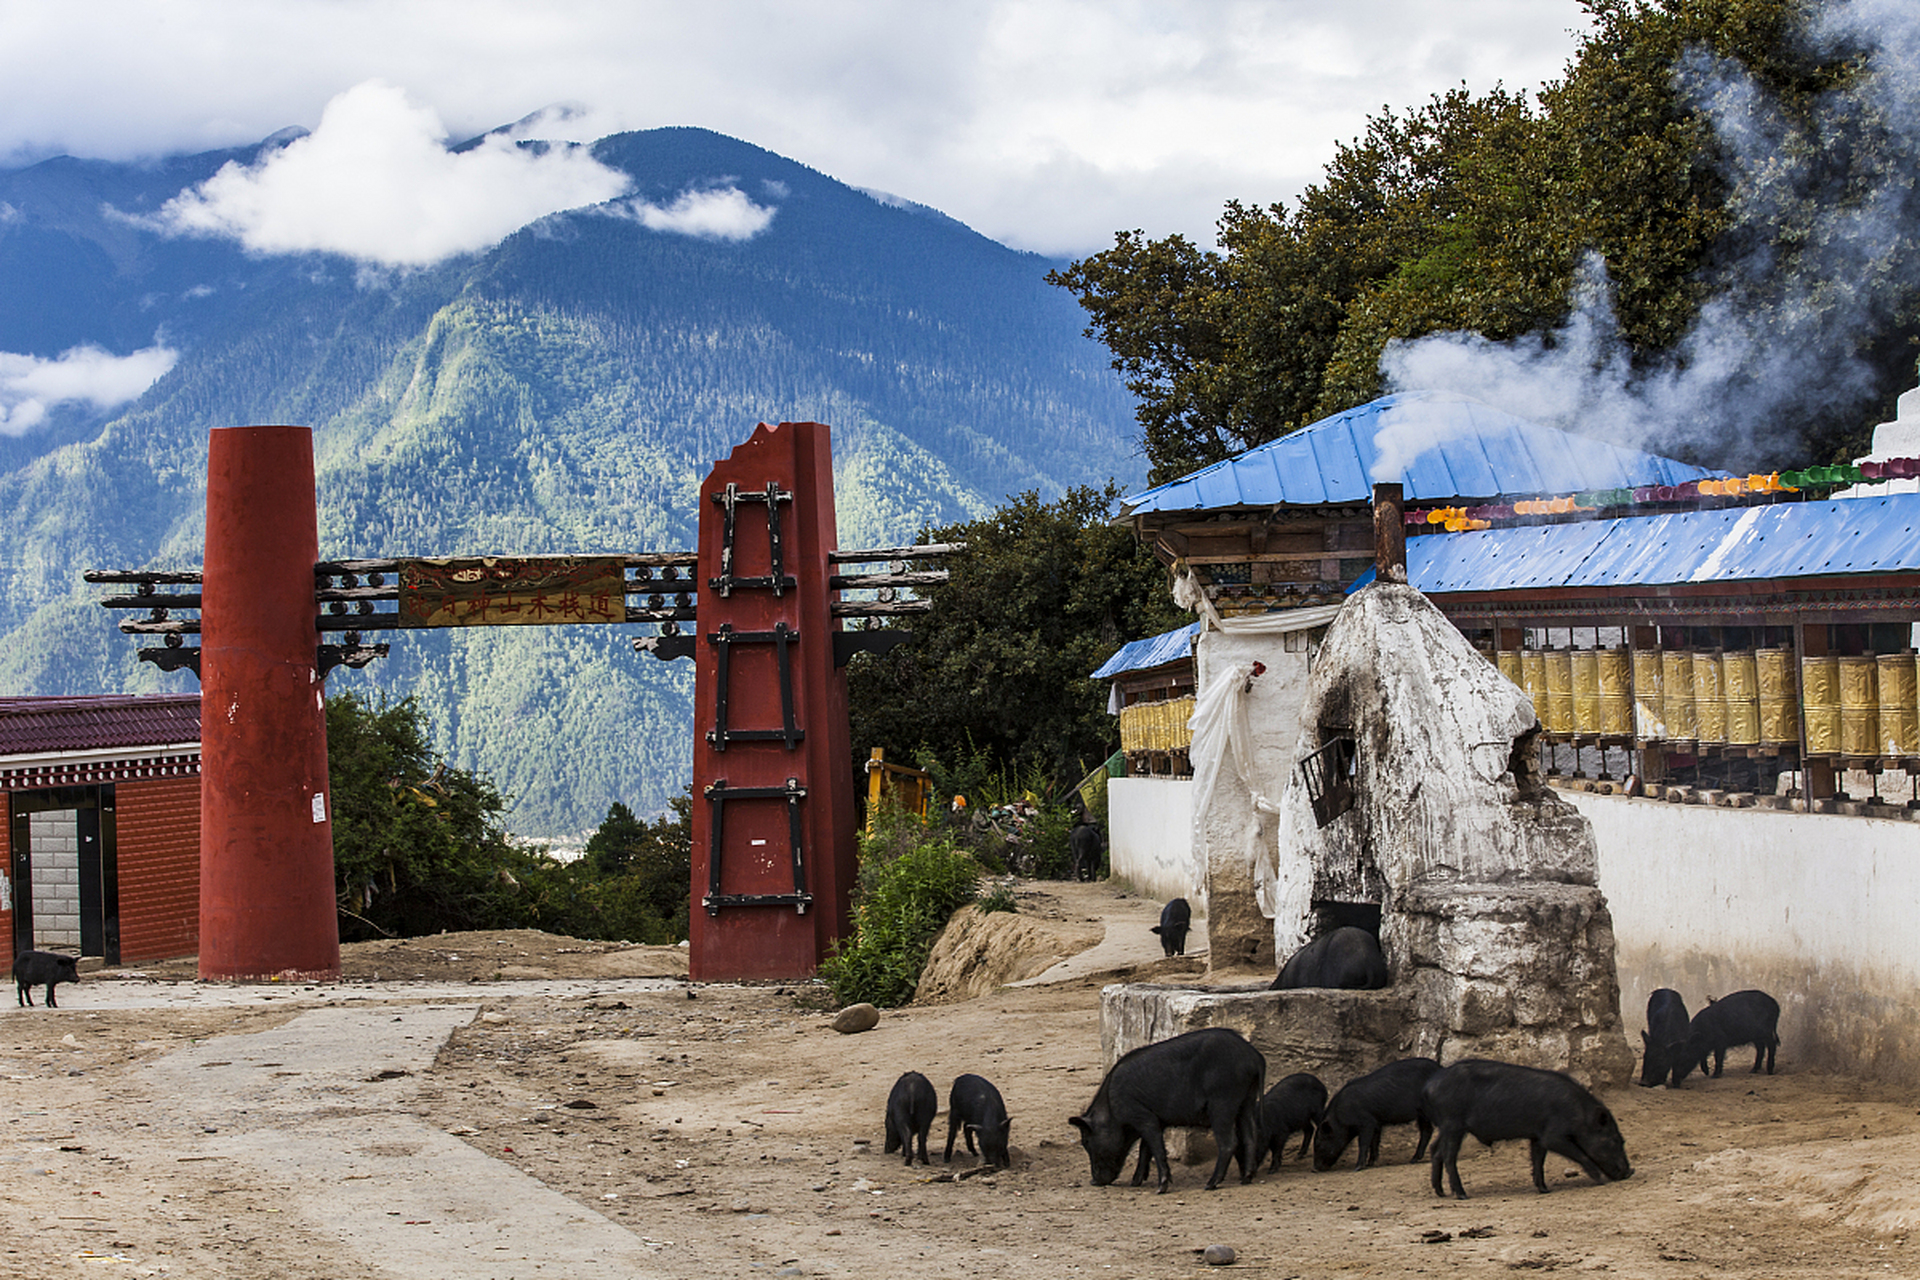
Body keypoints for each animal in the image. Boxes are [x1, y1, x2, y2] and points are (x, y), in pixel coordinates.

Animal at [1075, 1028, 1267, 1197]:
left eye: (1086, 1141)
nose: (1094, 1181)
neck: (1111, 1108)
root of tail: (1254, 1055)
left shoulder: (1144, 1117)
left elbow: (1157, 1149)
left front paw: (1160, 1189)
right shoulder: (1157, 1121)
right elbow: (1145, 1150)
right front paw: (1135, 1182)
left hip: (1222, 1103)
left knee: (1229, 1142)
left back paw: (1210, 1184)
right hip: (1247, 1100)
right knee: (1251, 1136)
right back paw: (1246, 1179)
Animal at [1428, 1059, 1635, 1197]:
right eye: (1616, 1140)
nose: (1629, 1172)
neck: (1579, 1115)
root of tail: (1430, 1085)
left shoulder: (1537, 1136)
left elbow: (1538, 1160)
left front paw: (1544, 1190)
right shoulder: (1552, 1136)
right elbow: (1579, 1154)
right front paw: (1599, 1179)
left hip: (1447, 1127)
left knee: (1435, 1150)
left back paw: (1441, 1192)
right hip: (1453, 1124)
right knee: (1449, 1156)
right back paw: (1462, 1194)